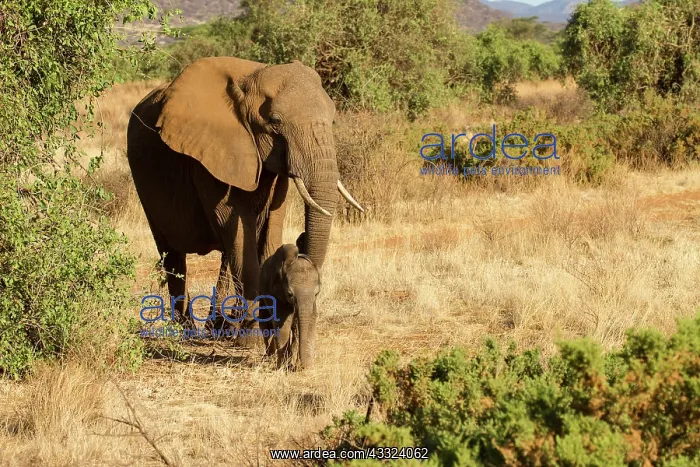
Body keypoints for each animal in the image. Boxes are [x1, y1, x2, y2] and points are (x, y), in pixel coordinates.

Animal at [127, 57, 363, 328]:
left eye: (332, 119)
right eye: (274, 121)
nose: (301, 241)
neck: (250, 79)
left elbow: (271, 227)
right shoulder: (208, 157)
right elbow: (236, 227)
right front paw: (254, 330)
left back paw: (217, 326)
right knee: (173, 256)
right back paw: (187, 329)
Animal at [258, 234, 320, 370]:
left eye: (316, 293)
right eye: (290, 294)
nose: (301, 367)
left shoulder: (313, 303)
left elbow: (311, 322)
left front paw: (308, 367)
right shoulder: (277, 293)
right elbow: (282, 324)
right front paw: (283, 367)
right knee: (265, 324)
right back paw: (269, 356)